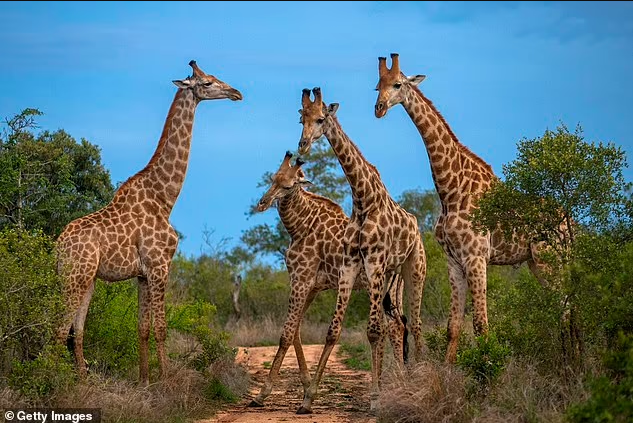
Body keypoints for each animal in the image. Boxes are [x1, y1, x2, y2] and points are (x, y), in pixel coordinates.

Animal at [55, 60, 242, 388]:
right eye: (207, 82)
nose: (236, 93)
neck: (164, 198)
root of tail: (56, 248)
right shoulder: (159, 265)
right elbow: (161, 328)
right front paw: (166, 382)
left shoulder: (142, 274)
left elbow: (141, 328)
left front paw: (144, 381)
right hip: (74, 277)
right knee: (57, 329)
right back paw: (50, 379)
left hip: (85, 279)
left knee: (76, 330)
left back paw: (82, 380)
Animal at [246, 152, 404, 408]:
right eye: (272, 178)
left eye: (288, 185)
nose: (262, 203)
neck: (299, 226)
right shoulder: (313, 285)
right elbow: (296, 330)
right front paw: (306, 386)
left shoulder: (301, 278)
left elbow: (286, 334)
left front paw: (262, 394)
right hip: (390, 287)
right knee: (396, 326)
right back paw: (395, 383)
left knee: (390, 327)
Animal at [296, 87, 424, 414]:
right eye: (301, 118)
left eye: (321, 118)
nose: (302, 145)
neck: (362, 198)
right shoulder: (350, 264)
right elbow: (334, 330)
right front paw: (308, 399)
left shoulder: (375, 262)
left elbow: (372, 331)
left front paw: (376, 399)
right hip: (389, 279)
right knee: (396, 324)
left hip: (412, 269)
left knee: (413, 324)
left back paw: (420, 378)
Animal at [376, 53, 548, 364]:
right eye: (377, 86)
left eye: (397, 84)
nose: (379, 108)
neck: (451, 191)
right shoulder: (453, 260)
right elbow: (453, 325)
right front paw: (448, 369)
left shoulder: (477, 257)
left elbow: (480, 324)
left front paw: (488, 369)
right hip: (534, 261)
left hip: (550, 258)